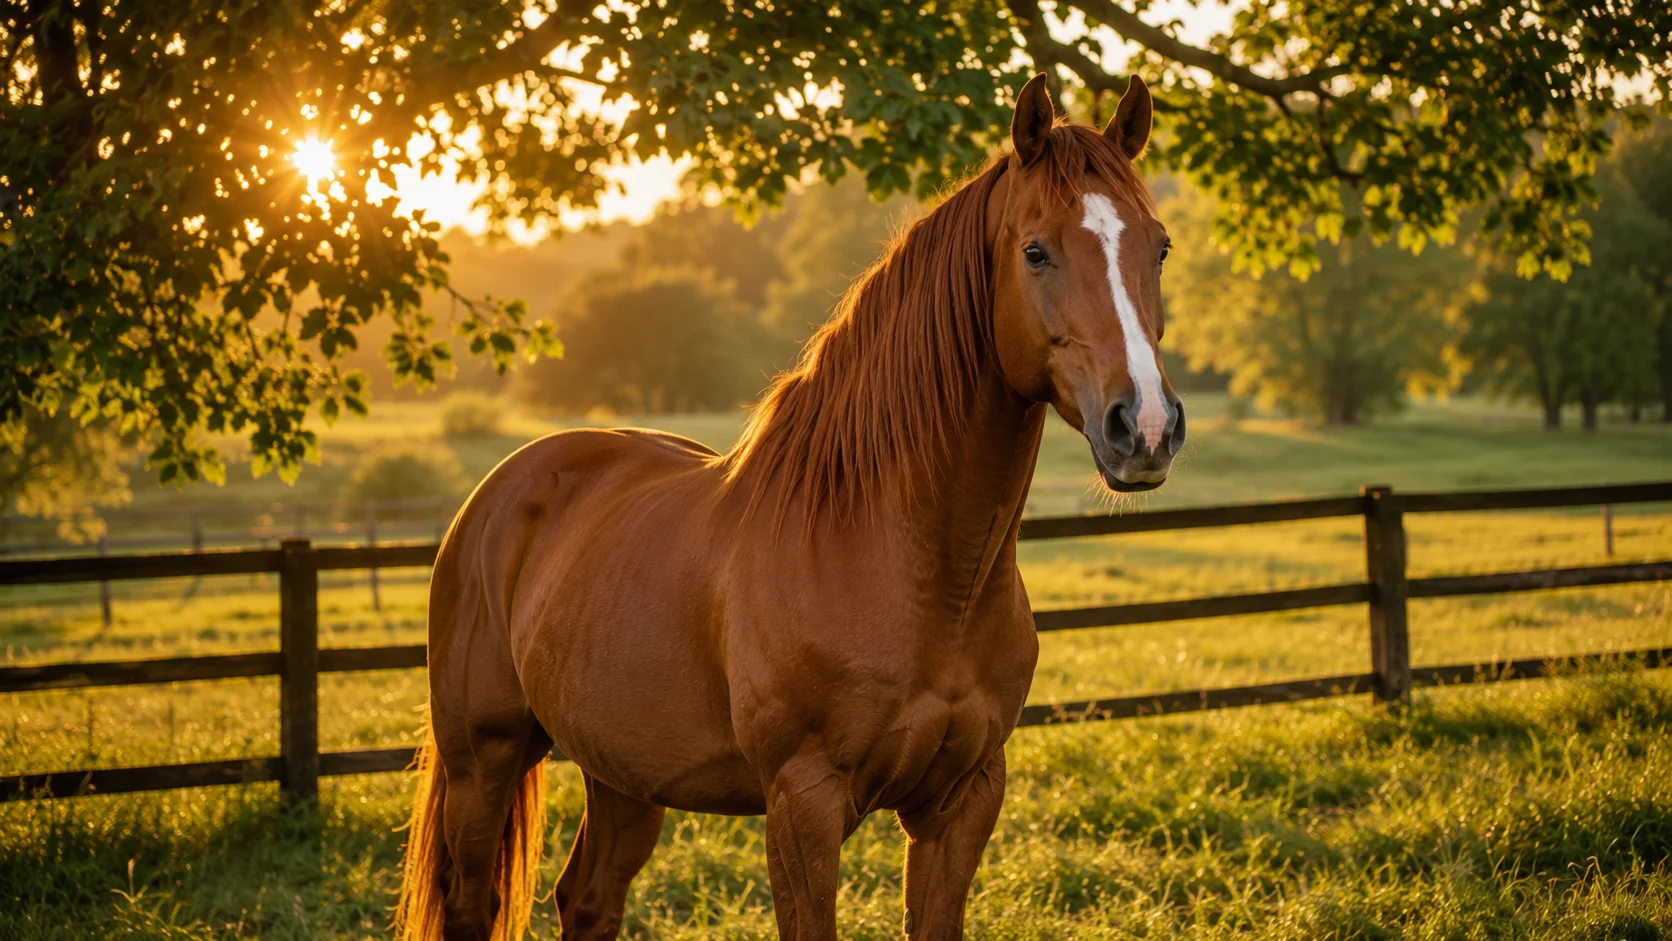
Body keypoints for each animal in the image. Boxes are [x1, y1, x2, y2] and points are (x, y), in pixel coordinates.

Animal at [396, 71, 1184, 941]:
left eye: (1159, 246)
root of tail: (495, 496)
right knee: (475, 904)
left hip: (622, 770)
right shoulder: (804, 804)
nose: (1145, 426)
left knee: (588, 899)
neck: (903, 562)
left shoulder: (964, 799)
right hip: (484, 759)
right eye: (1036, 250)